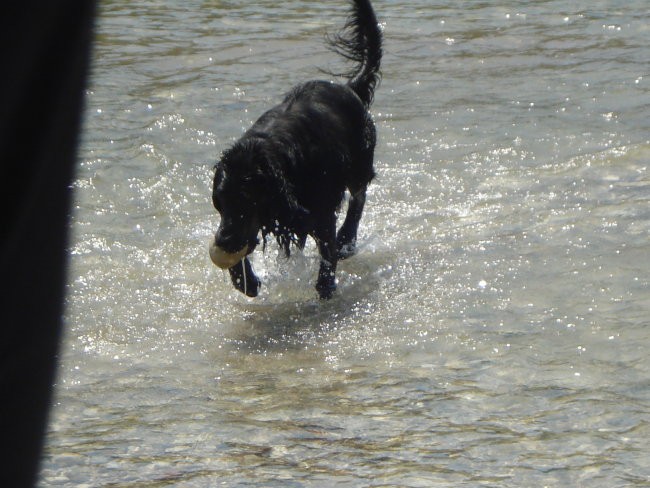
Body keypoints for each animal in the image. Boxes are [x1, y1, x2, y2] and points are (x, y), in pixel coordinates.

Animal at [208, 0, 380, 300]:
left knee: (359, 196)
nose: (223, 240)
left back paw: (347, 240)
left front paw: (326, 286)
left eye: (246, 200)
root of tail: (349, 88)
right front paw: (246, 281)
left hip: (360, 161)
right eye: (219, 202)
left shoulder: (320, 210)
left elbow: (327, 249)